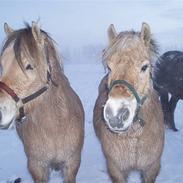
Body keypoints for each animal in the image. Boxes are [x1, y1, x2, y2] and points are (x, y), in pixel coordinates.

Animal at [93, 23, 164, 183]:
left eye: (144, 67)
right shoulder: (116, 169)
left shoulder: (151, 168)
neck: (134, 138)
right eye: (109, 67)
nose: (116, 116)